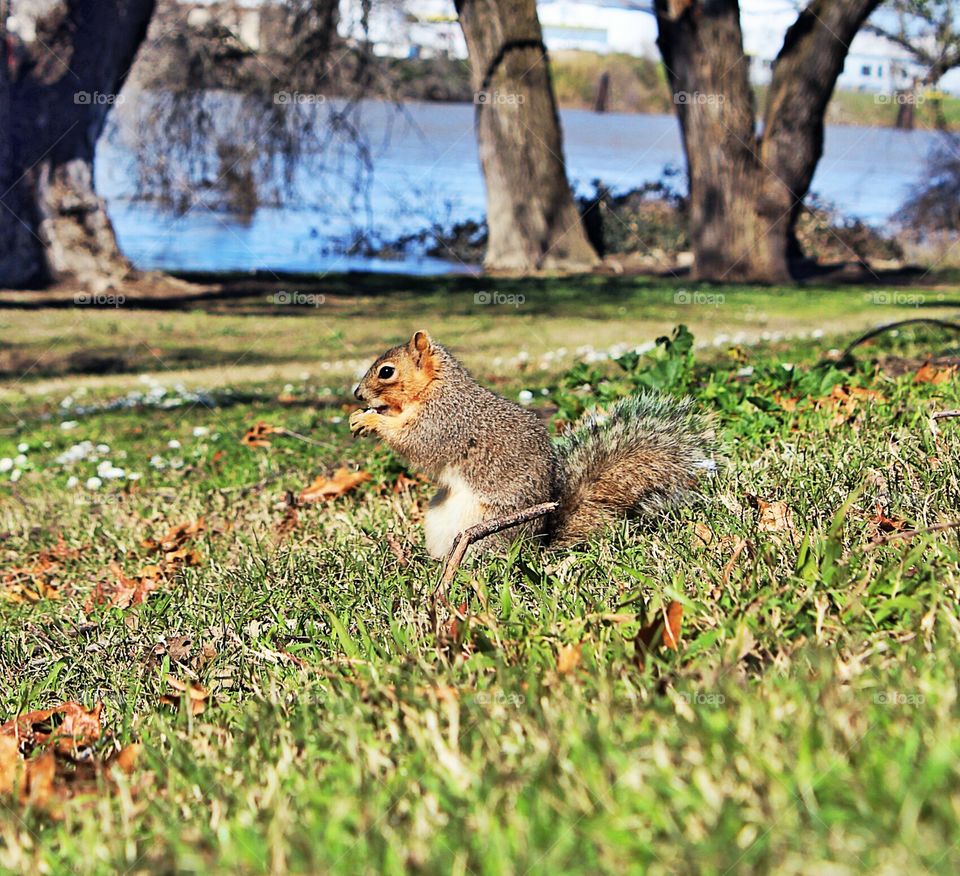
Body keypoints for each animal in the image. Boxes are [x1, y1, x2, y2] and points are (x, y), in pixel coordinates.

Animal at [350, 330, 715, 560]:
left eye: (386, 371)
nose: (357, 394)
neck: (435, 388)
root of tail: (536, 545)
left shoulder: (444, 420)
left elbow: (417, 442)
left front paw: (372, 421)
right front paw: (362, 416)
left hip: (485, 529)